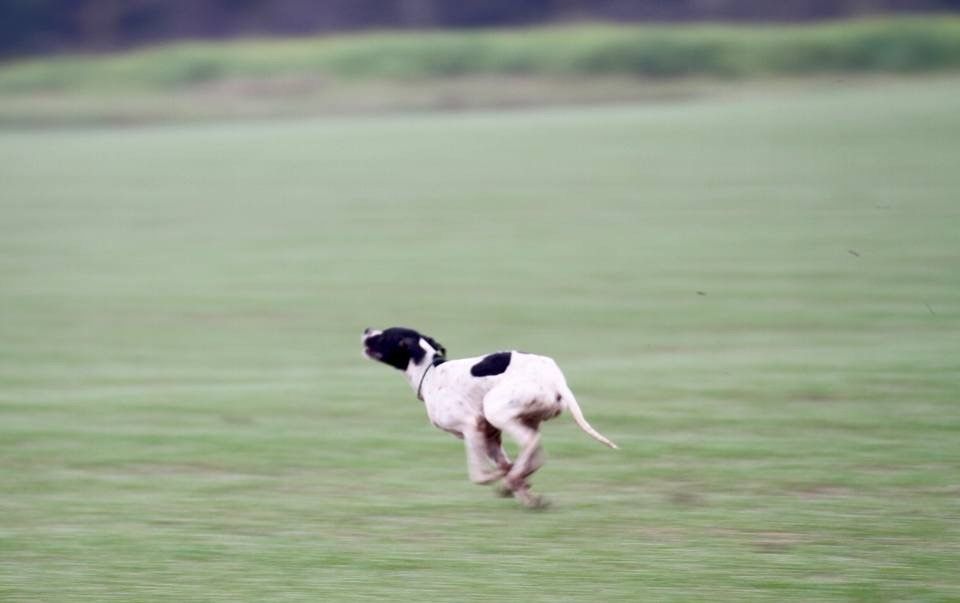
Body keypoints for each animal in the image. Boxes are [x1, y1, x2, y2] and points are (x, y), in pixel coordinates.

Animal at [360, 328, 616, 508]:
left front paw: (506, 479)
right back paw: (517, 479)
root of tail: (555, 378)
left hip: (497, 410)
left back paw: (512, 479)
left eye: (384, 336)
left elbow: (479, 475)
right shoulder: (490, 435)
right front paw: (525, 492)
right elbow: (504, 464)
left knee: (530, 443)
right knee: (537, 453)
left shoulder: (472, 427)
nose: (366, 330)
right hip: (522, 419)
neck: (430, 372)